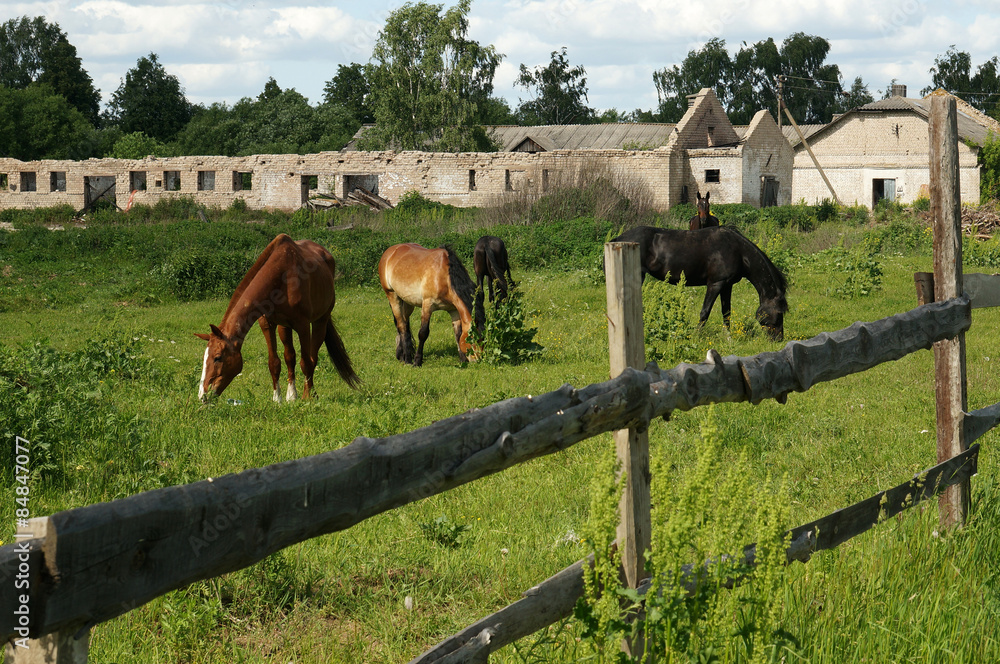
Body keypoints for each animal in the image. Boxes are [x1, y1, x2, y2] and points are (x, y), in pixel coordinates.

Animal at [195, 233, 360, 403]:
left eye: (218, 357)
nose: (203, 395)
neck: (281, 277)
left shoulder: (303, 326)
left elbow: (306, 362)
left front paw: (307, 397)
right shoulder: (267, 324)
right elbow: (274, 362)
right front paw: (277, 398)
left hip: (320, 321)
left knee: (312, 357)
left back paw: (311, 393)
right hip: (284, 327)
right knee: (290, 357)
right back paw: (291, 394)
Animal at [610, 225, 788, 341]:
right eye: (779, 313)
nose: (778, 339)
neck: (737, 250)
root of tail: (620, 239)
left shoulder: (727, 285)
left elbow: (726, 312)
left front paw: (729, 338)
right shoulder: (715, 284)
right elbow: (705, 312)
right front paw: (696, 336)